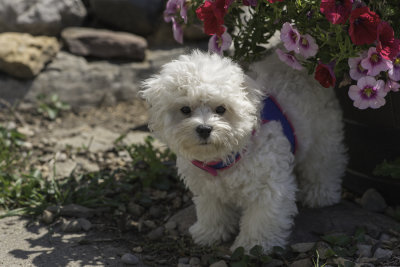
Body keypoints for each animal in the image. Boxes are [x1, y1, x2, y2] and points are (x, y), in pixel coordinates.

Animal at [141, 50, 346, 253]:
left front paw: (254, 245)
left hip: (323, 135)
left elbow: (261, 219)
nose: (204, 129)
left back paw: (321, 194)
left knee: (324, 164)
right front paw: (210, 232)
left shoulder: (268, 187)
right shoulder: (208, 187)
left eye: (221, 109)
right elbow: (212, 210)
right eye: (185, 109)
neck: (226, 155)